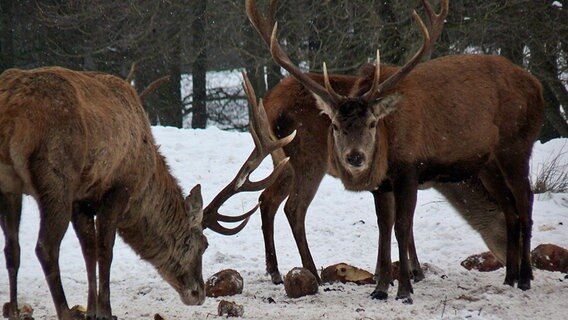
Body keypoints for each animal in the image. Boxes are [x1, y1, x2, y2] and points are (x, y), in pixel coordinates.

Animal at [0, 66, 292, 318]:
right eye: (203, 244)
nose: (198, 294)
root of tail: (11, 114)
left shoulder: (82, 198)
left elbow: (89, 250)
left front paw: (92, 309)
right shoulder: (117, 188)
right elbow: (105, 250)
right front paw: (105, 311)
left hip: (10, 184)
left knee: (12, 247)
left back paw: (13, 310)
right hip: (56, 177)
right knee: (45, 246)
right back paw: (63, 311)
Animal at [246, 0, 544, 302]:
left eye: (372, 123)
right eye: (334, 125)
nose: (355, 157)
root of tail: (537, 86)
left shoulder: (405, 173)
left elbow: (397, 226)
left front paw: (396, 284)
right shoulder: (394, 180)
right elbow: (392, 227)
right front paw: (393, 285)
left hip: (511, 148)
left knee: (521, 202)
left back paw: (520, 277)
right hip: (305, 159)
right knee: (290, 206)